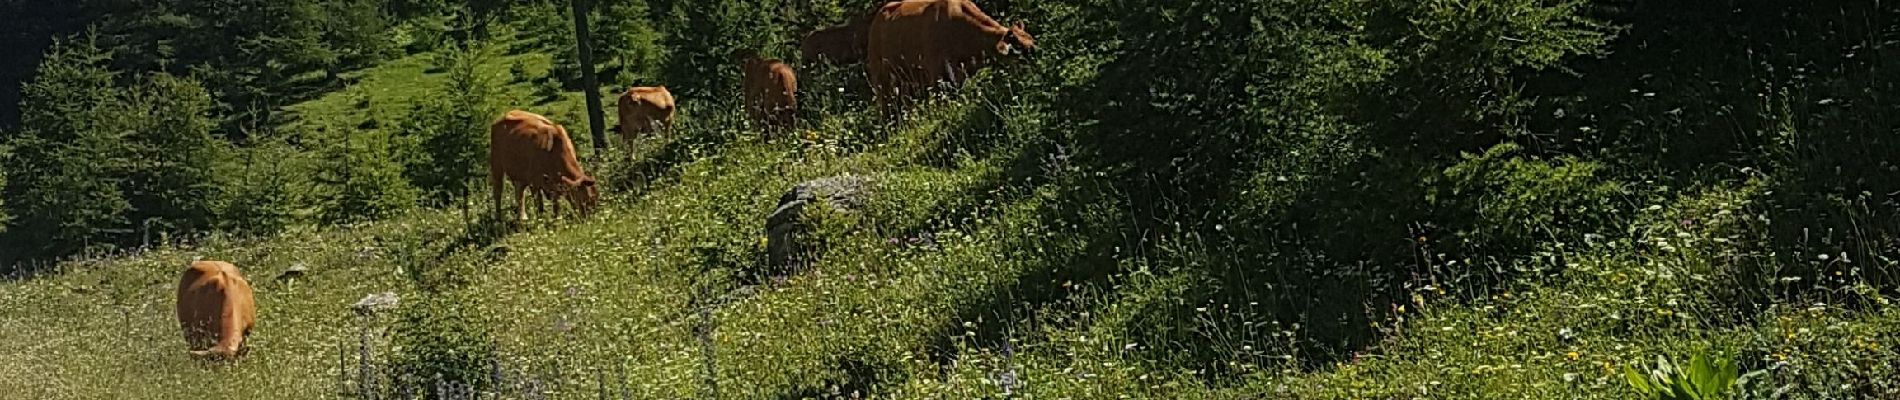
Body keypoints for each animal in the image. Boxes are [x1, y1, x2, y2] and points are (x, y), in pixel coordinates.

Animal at [866, 0, 1033, 115]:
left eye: (1033, 44)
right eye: (1019, 53)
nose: (1033, 69)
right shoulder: (936, 71)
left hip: (905, 78)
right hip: (881, 76)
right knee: (885, 106)